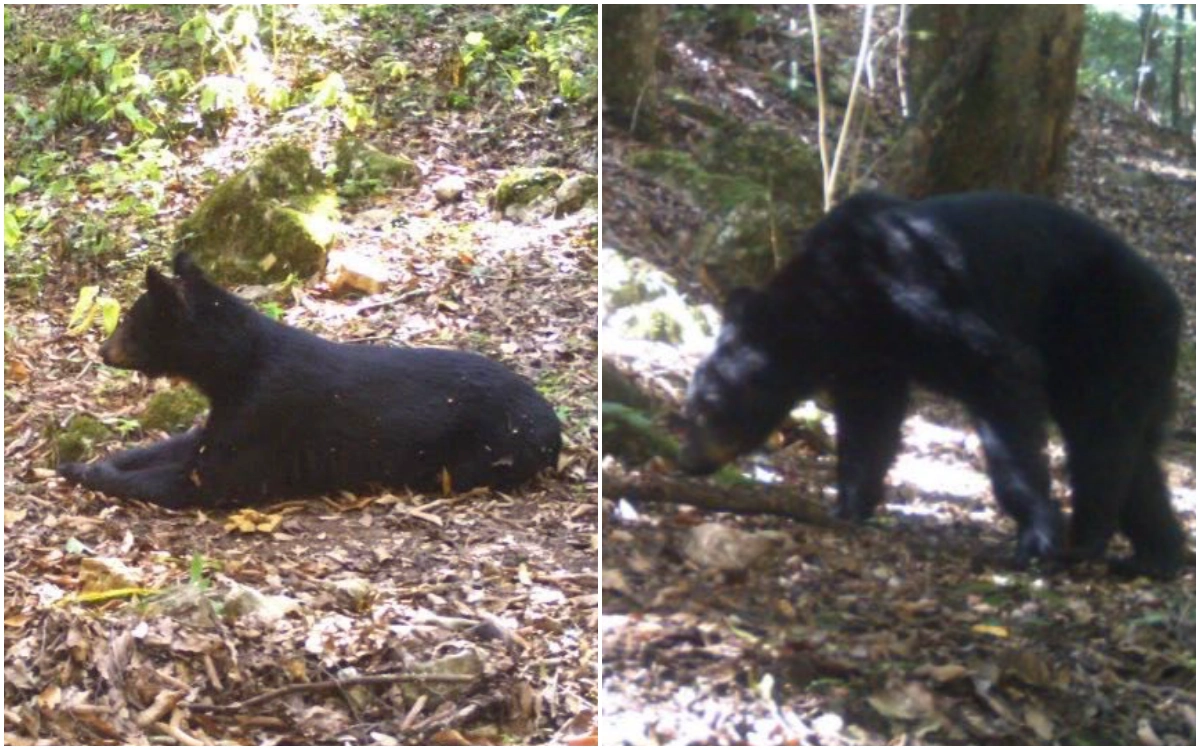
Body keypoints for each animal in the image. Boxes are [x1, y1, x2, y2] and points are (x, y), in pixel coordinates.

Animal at [58, 253, 562, 508]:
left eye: (131, 321)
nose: (102, 351)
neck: (236, 366)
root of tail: (554, 427)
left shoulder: (263, 414)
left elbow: (204, 480)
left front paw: (93, 474)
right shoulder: (229, 412)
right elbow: (180, 444)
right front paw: (84, 462)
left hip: (487, 449)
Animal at [679, 191, 1186, 580]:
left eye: (708, 408)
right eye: (690, 408)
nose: (687, 459)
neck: (840, 298)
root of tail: (1174, 303)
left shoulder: (919, 296)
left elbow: (1004, 368)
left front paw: (1036, 534)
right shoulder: (868, 354)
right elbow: (870, 421)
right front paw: (849, 505)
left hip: (1111, 328)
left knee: (1099, 433)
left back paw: (1086, 541)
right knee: (1138, 452)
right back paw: (1158, 556)